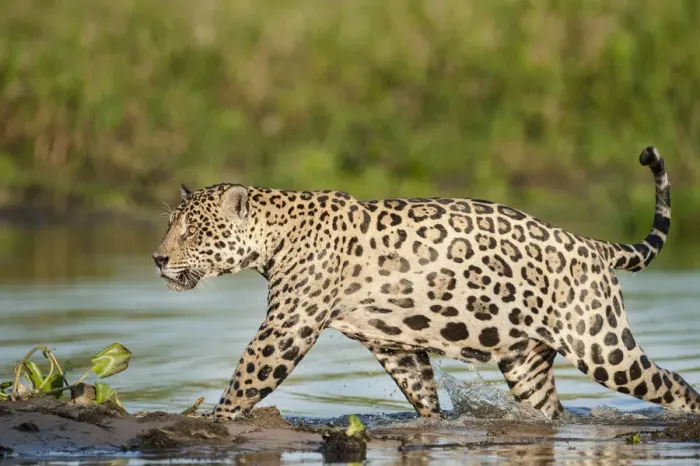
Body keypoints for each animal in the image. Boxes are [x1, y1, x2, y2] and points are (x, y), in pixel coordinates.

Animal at [152, 146, 699, 421]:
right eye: (171, 225)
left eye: (192, 231)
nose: (158, 259)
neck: (275, 232)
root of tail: (592, 244)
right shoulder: (392, 343)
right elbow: (421, 392)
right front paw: (431, 424)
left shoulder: (288, 327)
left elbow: (247, 378)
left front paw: (208, 423)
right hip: (526, 364)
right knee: (549, 409)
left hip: (601, 345)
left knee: (675, 384)